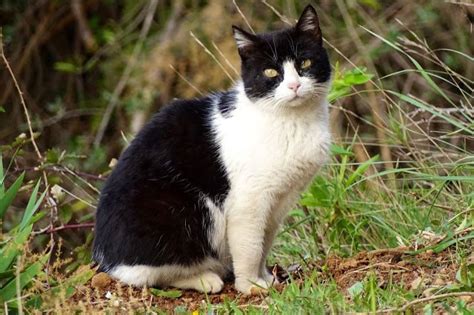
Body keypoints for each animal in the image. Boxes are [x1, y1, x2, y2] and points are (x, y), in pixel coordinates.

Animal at [91, 4, 330, 296]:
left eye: (304, 63)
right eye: (271, 73)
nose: (295, 86)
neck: (291, 121)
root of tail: (103, 256)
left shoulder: (279, 201)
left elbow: (264, 242)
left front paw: (265, 277)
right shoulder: (247, 201)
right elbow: (250, 247)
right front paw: (250, 285)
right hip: (187, 211)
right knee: (146, 274)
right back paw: (205, 279)